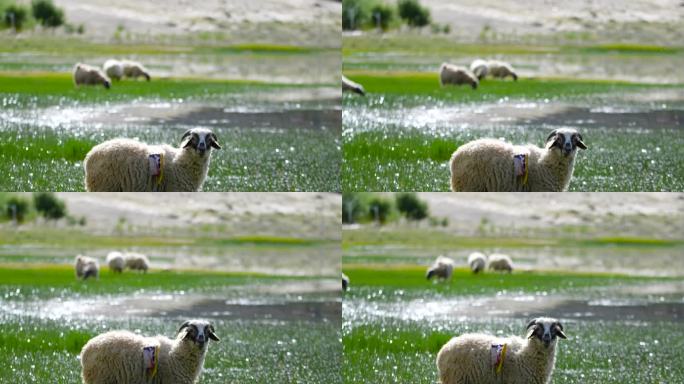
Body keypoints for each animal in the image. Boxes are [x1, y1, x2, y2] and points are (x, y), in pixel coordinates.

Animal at [80, 318, 219, 384]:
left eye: (207, 332)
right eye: (191, 331)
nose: (201, 339)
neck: (176, 353)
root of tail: (85, 349)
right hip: (100, 378)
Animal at [83, 127, 222, 192]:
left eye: (209, 140)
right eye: (193, 139)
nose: (201, 147)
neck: (180, 161)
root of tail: (89, 156)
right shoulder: (175, 188)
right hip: (104, 185)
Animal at [438, 318, 568, 384]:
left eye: (554, 330)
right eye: (538, 329)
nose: (547, 338)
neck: (526, 353)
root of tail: (442, 351)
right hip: (456, 378)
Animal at [448, 127, 588, 192]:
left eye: (575, 140)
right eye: (559, 139)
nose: (568, 147)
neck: (546, 161)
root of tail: (455, 156)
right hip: (470, 185)